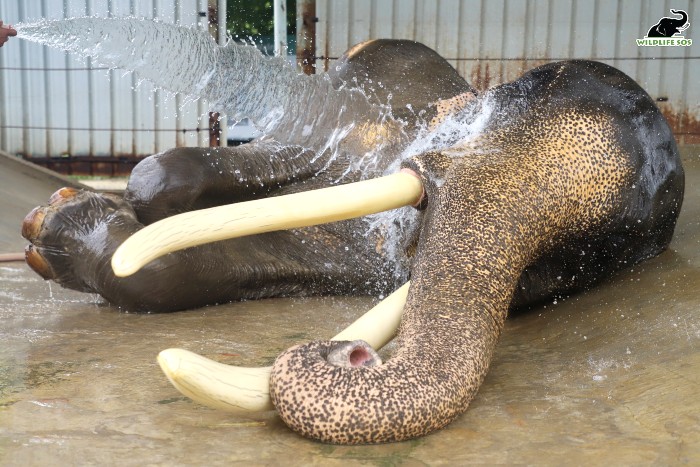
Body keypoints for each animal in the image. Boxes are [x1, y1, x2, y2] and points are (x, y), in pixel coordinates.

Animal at [20, 38, 684, 444]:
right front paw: (63, 218)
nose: (354, 354)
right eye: (494, 122)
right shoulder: (356, 117)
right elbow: (165, 178)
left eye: (571, 260)